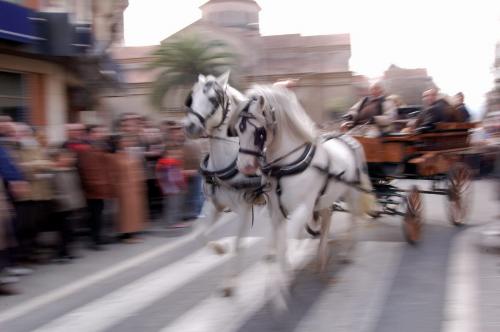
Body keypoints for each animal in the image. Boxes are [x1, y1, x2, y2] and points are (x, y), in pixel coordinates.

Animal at [181, 71, 264, 294]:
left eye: (212, 99)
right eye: (191, 97)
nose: (190, 127)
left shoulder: (245, 209)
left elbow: (238, 244)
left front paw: (230, 282)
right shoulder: (214, 206)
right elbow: (199, 234)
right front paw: (220, 249)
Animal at [229, 85, 374, 286]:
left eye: (259, 132)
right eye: (237, 130)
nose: (245, 166)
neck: (285, 167)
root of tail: (348, 138)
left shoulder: (303, 208)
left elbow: (291, 237)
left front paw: (284, 276)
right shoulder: (276, 211)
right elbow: (280, 243)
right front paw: (281, 274)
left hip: (351, 192)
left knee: (353, 218)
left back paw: (347, 251)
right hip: (326, 199)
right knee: (327, 219)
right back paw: (322, 256)